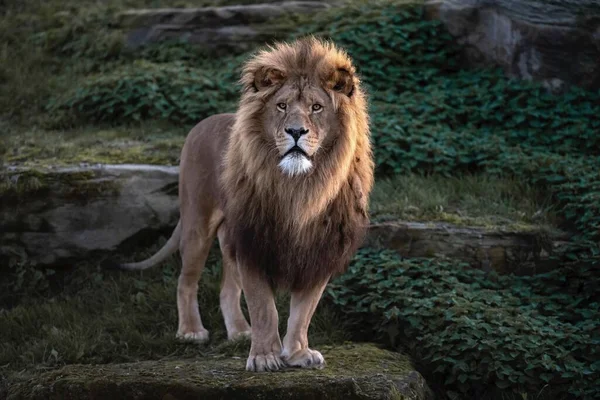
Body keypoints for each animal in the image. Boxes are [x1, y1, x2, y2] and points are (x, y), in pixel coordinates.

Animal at [116, 37, 372, 372]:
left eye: (316, 108)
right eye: (281, 106)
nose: (295, 131)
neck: (300, 188)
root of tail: (204, 122)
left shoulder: (319, 251)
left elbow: (303, 312)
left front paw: (298, 353)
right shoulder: (254, 244)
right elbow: (264, 308)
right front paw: (264, 357)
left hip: (229, 236)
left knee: (227, 289)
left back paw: (239, 331)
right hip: (198, 223)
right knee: (186, 280)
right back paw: (191, 331)